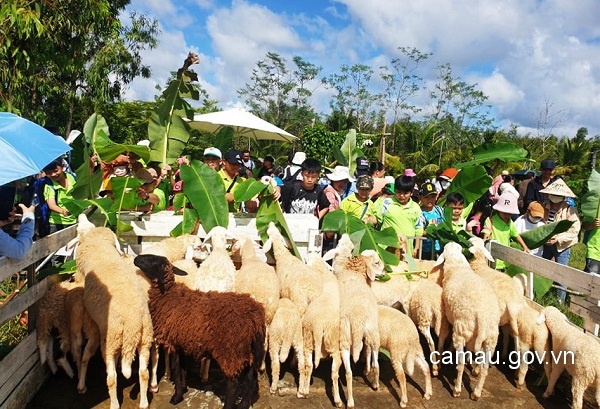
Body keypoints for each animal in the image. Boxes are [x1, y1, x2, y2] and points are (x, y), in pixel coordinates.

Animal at [136, 253, 268, 406]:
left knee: (233, 383)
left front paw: (176, 396)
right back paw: (243, 405)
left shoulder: (174, 342)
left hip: (231, 350)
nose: (136, 259)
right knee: (251, 378)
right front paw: (183, 388)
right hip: (247, 349)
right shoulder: (182, 342)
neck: (168, 295)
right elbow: (182, 368)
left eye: (153, 261)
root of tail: (256, 316)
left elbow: (176, 369)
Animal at [436, 242, 502, 398]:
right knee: (485, 368)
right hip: (491, 339)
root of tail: (483, 315)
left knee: (460, 365)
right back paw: (476, 392)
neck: (457, 266)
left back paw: (457, 390)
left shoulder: (449, 316)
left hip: (462, 329)